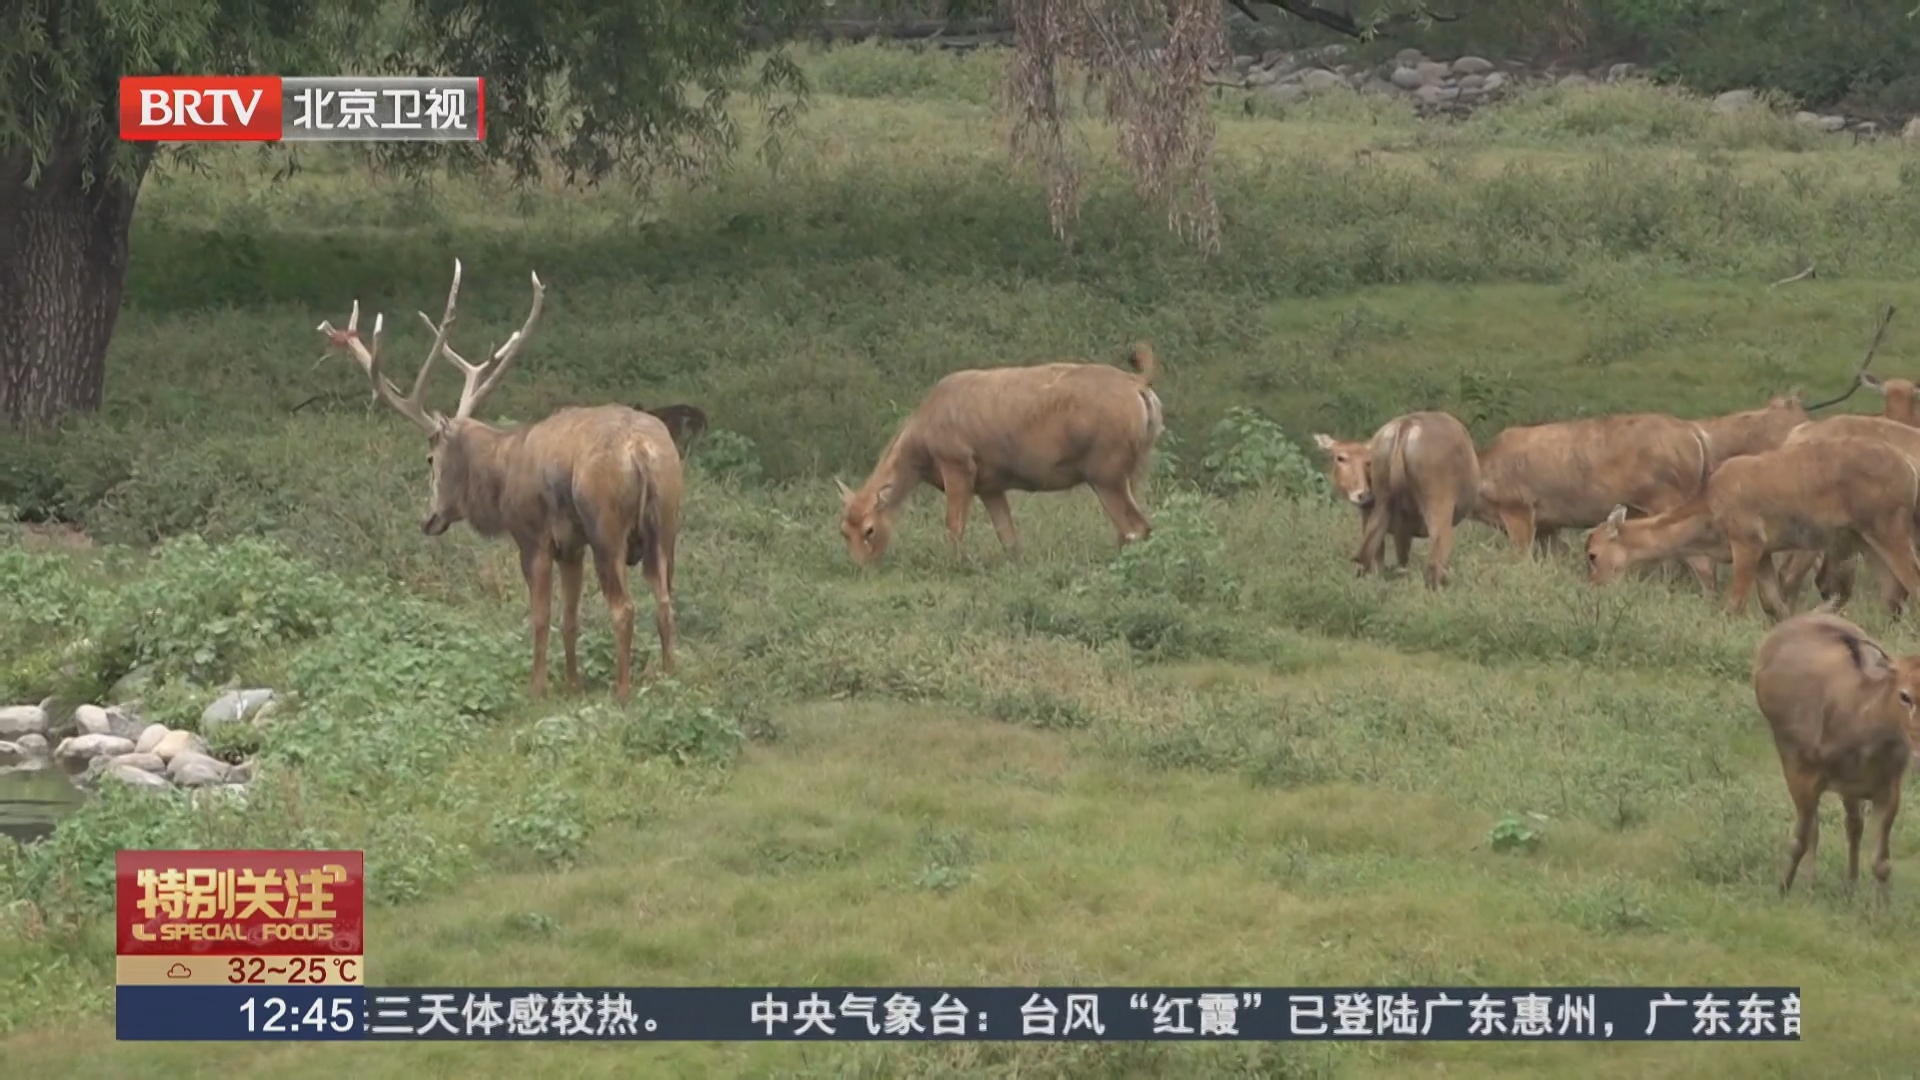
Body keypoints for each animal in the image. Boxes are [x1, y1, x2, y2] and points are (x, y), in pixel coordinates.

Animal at [317, 258, 682, 704]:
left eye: (429, 458)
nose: (429, 519)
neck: (502, 473)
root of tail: (642, 451)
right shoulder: (571, 546)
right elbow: (570, 616)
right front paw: (572, 684)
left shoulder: (532, 536)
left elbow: (540, 616)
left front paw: (537, 688)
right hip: (666, 525)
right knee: (664, 601)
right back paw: (668, 677)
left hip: (605, 525)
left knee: (624, 608)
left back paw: (623, 692)